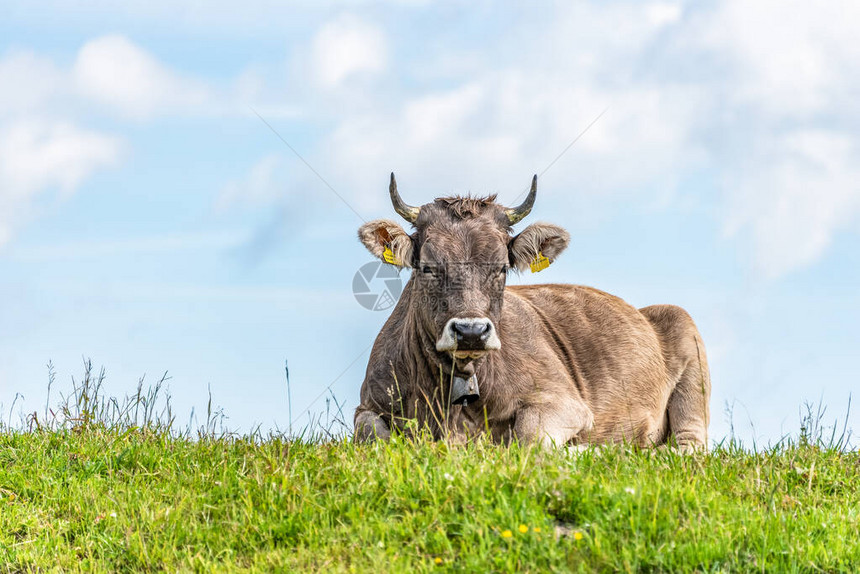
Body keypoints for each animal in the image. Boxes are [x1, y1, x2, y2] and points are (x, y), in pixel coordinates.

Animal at [352, 173, 708, 452]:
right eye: (428, 267)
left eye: (500, 267)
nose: (470, 331)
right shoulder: (366, 407)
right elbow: (371, 433)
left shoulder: (565, 402)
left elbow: (528, 437)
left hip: (687, 349)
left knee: (686, 446)